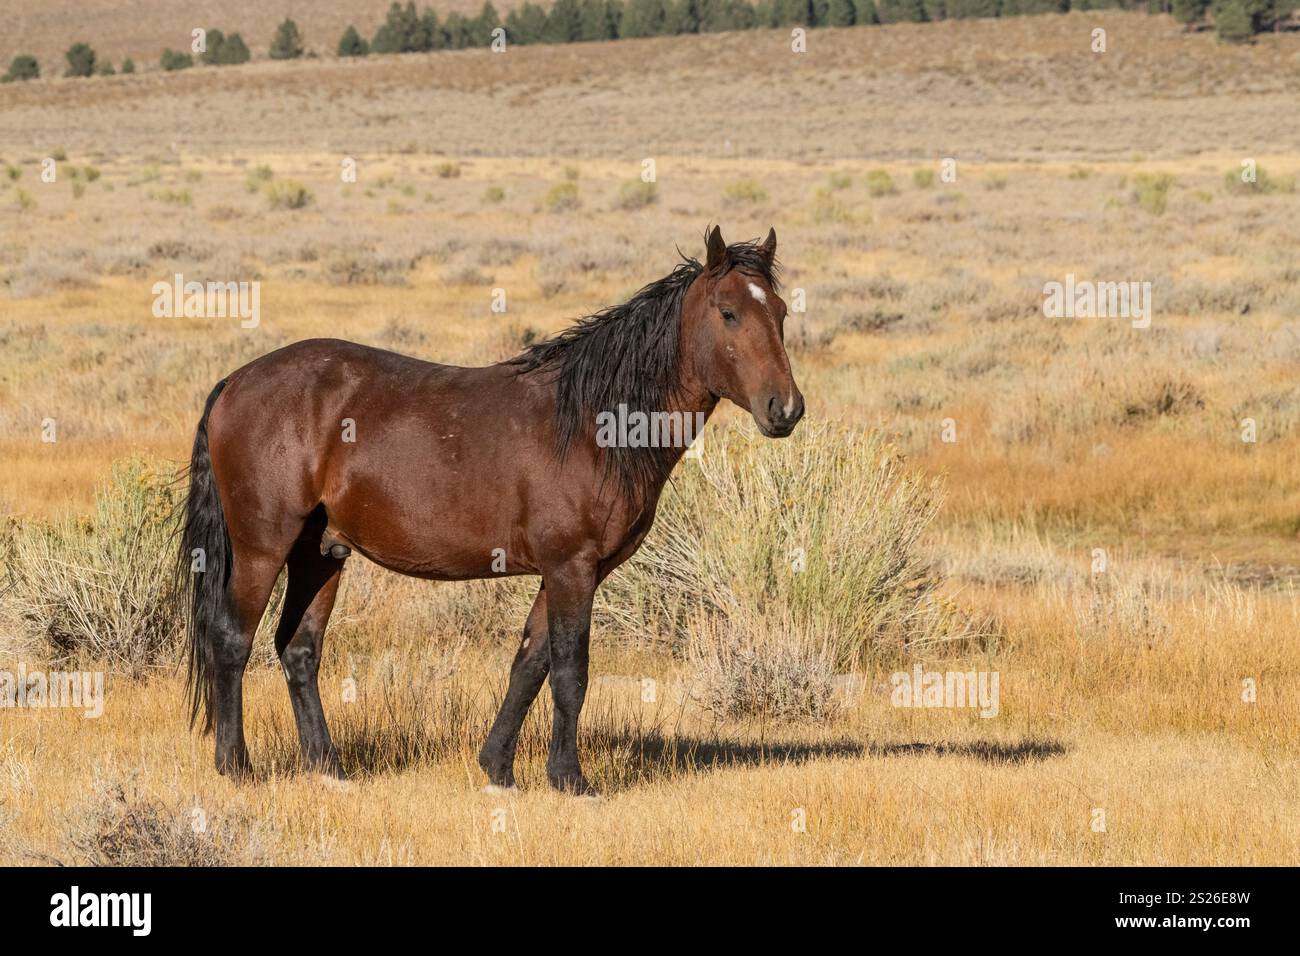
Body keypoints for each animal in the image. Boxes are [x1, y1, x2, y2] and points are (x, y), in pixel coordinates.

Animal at [177, 225, 804, 795]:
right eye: (728, 313)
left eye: (779, 312)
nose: (786, 409)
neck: (591, 423)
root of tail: (237, 380)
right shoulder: (572, 568)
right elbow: (570, 673)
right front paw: (569, 778)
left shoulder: (567, 573)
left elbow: (529, 665)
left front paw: (498, 768)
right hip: (264, 547)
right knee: (231, 641)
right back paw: (236, 767)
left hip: (321, 552)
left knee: (299, 650)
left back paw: (329, 769)